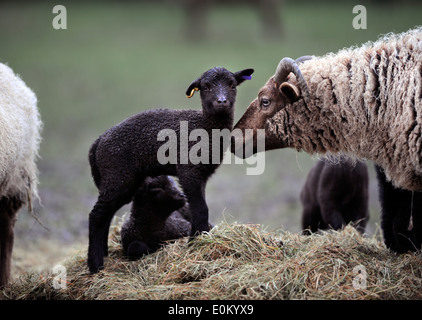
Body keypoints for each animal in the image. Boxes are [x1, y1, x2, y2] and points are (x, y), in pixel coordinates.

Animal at [88, 65, 254, 272]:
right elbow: (201, 209)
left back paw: (103, 254)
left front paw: (198, 239)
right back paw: (95, 265)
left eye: (232, 85)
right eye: (205, 86)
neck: (205, 127)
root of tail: (98, 142)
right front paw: (197, 243)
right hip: (117, 176)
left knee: (106, 215)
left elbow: (197, 208)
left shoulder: (202, 175)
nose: (221, 102)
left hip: (121, 181)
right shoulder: (188, 170)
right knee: (96, 216)